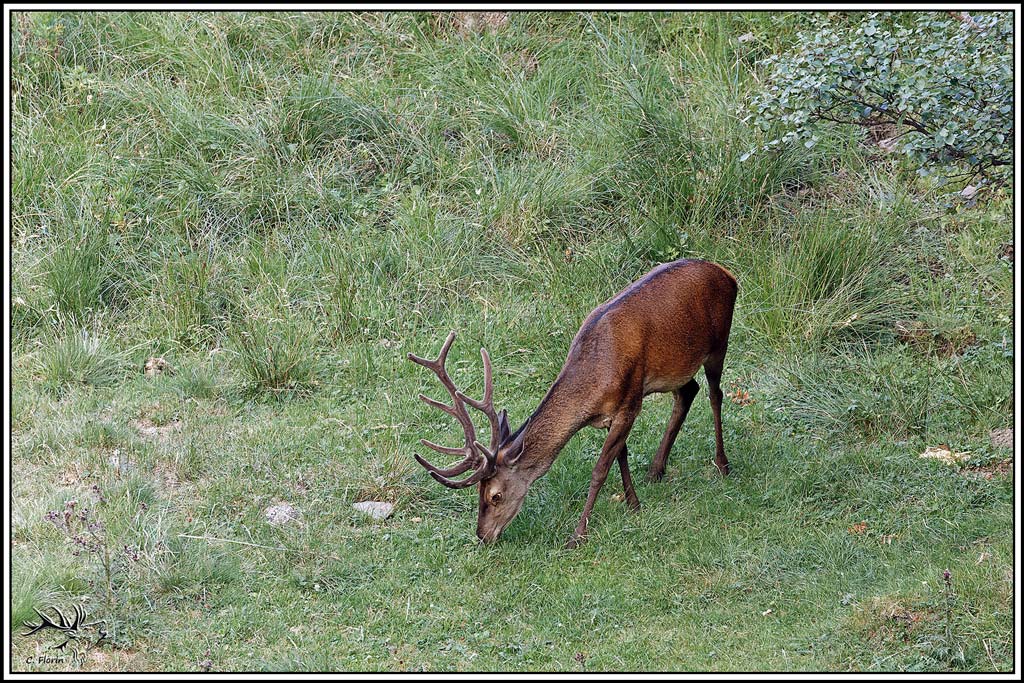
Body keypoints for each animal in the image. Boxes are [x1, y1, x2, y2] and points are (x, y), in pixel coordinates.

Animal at [408, 258, 737, 549]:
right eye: (479, 491)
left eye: (495, 496)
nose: (482, 535)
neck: (596, 380)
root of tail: (727, 274)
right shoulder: (612, 414)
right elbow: (621, 454)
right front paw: (633, 503)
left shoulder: (631, 402)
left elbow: (600, 469)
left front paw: (578, 535)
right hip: (677, 367)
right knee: (688, 392)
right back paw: (656, 470)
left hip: (719, 342)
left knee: (715, 395)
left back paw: (722, 465)